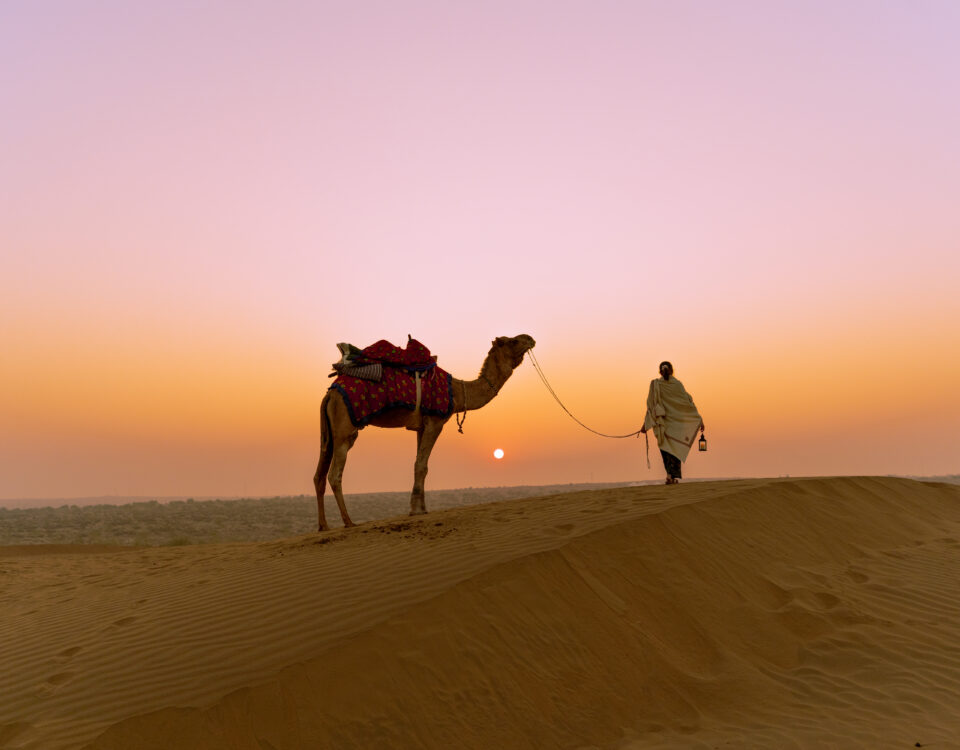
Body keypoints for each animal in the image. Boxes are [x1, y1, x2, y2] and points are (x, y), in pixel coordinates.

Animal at [313, 334, 536, 531]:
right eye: (512, 341)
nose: (530, 338)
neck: (456, 392)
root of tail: (330, 394)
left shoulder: (421, 426)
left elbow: (418, 464)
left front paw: (420, 507)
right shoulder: (435, 422)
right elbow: (422, 466)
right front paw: (417, 510)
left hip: (329, 433)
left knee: (319, 475)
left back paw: (323, 526)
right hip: (345, 429)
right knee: (334, 474)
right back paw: (348, 522)